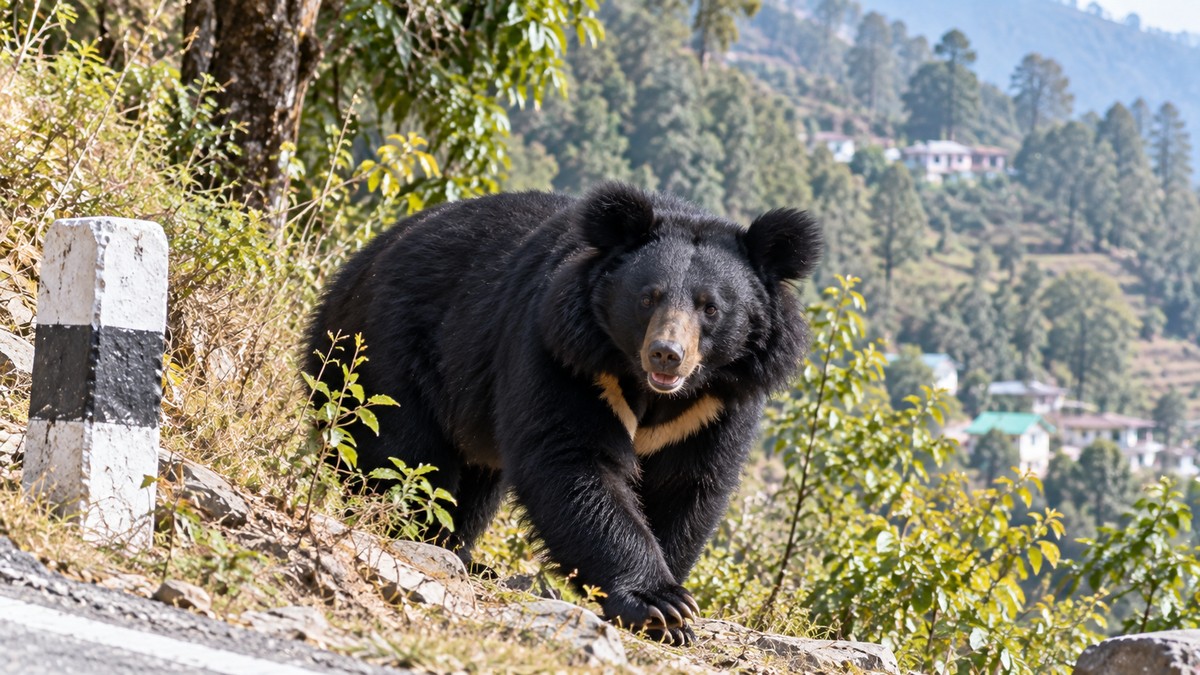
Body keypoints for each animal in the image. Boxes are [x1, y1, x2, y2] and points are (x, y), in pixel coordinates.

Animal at [305, 182, 821, 644]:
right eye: (648, 297)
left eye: (710, 308)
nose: (667, 355)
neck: (651, 388)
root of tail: (359, 265)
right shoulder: (565, 352)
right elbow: (573, 461)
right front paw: (659, 604)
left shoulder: (715, 404)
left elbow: (687, 486)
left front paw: (675, 609)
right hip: (390, 352)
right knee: (406, 455)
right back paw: (415, 536)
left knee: (473, 481)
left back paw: (466, 555)